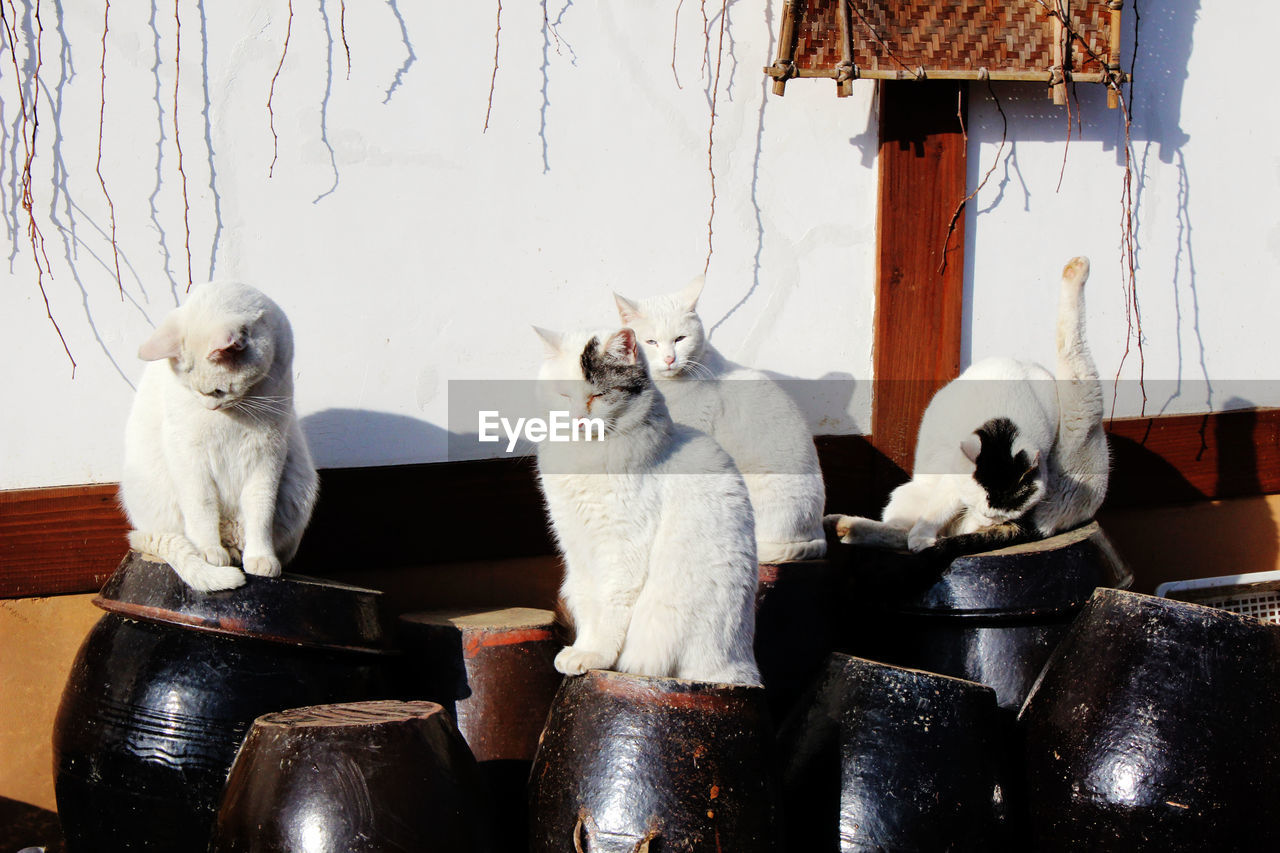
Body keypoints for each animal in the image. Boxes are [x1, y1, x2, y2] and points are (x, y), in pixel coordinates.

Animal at [120, 281, 320, 589]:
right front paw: (209, 552)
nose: (209, 406)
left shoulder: (268, 456)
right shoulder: (190, 458)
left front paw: (261, 559)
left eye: (218, 392)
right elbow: (202, 509)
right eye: (192, 389)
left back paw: (240, 553)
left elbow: (260, 513)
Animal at [537, 325, 762, 686]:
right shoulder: (577, 548)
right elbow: (587, 604)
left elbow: (609, 606)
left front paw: (594, 654)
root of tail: (742, 667)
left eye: (599, 395)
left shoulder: (622, 549)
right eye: (563, 396)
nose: (578, 420)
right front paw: (582, 647)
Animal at [829, 256, 1111, 555]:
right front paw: (921, 536)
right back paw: (843, 525)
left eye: (999, 514)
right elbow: (935, 509)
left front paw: (921, 539)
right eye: (983, 508)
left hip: (1082, 404)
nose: (987, 520)